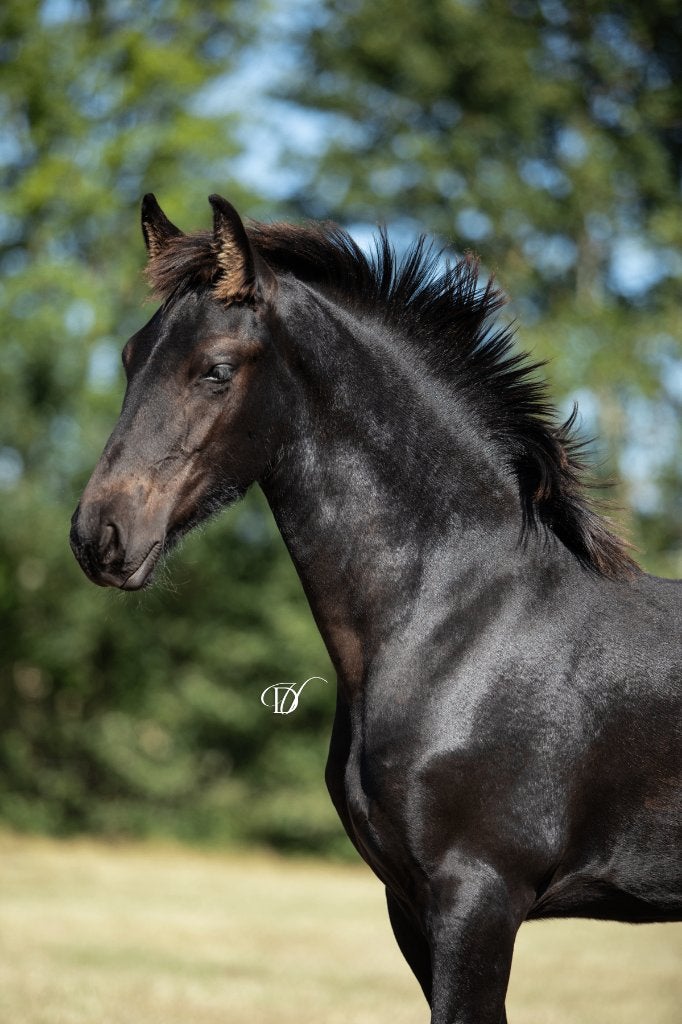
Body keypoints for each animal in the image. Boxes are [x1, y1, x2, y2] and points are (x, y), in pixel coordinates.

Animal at [70, 194, 682, 1023]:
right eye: (133, 358)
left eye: (216, 370)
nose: (98, 536)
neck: (463, 623)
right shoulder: (410, 905)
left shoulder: (479, 898)